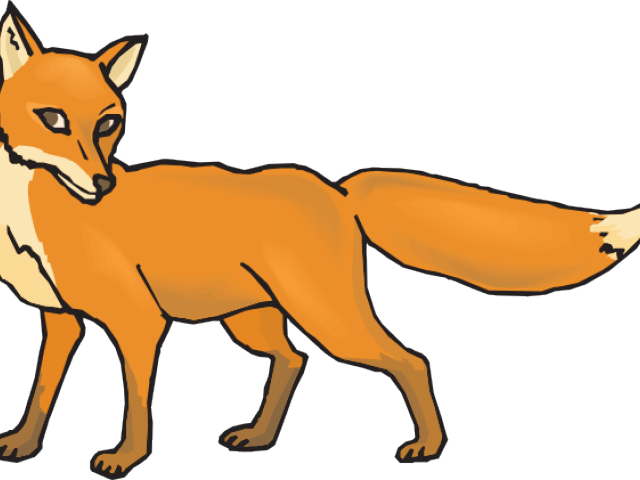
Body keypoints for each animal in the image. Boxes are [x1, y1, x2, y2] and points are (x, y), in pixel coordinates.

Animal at [1, 1, 639, 478]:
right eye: (54, 118)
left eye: (109, 121)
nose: (103, 184)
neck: (34, 222)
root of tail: (336, 188)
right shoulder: (59, 320)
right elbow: (41, 391)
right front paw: (23, 445)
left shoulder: (138, 321)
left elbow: (135, 402)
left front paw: (126, 459)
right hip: (252, 321)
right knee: (293, 359)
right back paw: (260, 437)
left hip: (329, 319)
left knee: (409, 360)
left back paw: (427, 448)